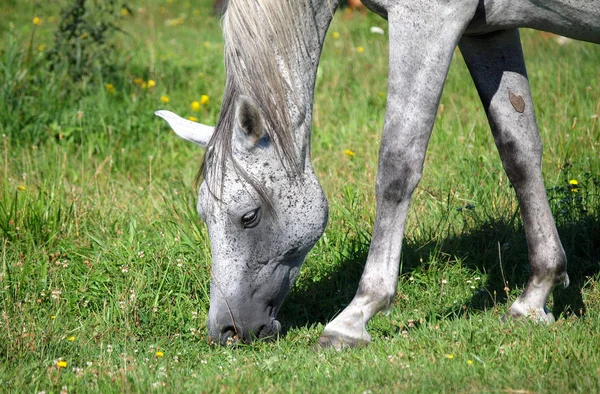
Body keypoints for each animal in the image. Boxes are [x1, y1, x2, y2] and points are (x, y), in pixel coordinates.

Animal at [156, 0, 600, 348]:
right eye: (204, 216)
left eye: (248, 216)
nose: (226, 330)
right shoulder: (489, 30)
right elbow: (518, 151)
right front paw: (535, 295)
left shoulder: (429, 19)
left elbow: (397, 163)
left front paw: (355, 316)